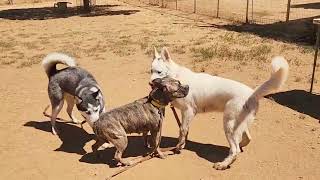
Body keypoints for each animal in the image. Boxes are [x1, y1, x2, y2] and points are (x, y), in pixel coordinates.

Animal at [149, 47, 288, 169]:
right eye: (150, 71)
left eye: (159, 72)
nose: (150, 83)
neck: (177, 76)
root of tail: (252, 93)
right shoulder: (186, 114)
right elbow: (183, 132)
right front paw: (181, 145)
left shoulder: (188, 112)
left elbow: (182, 130)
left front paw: (179, 146)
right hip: (239, 125)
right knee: (246, 139)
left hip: (228, 125)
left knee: (235, 150)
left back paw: (223, 164)